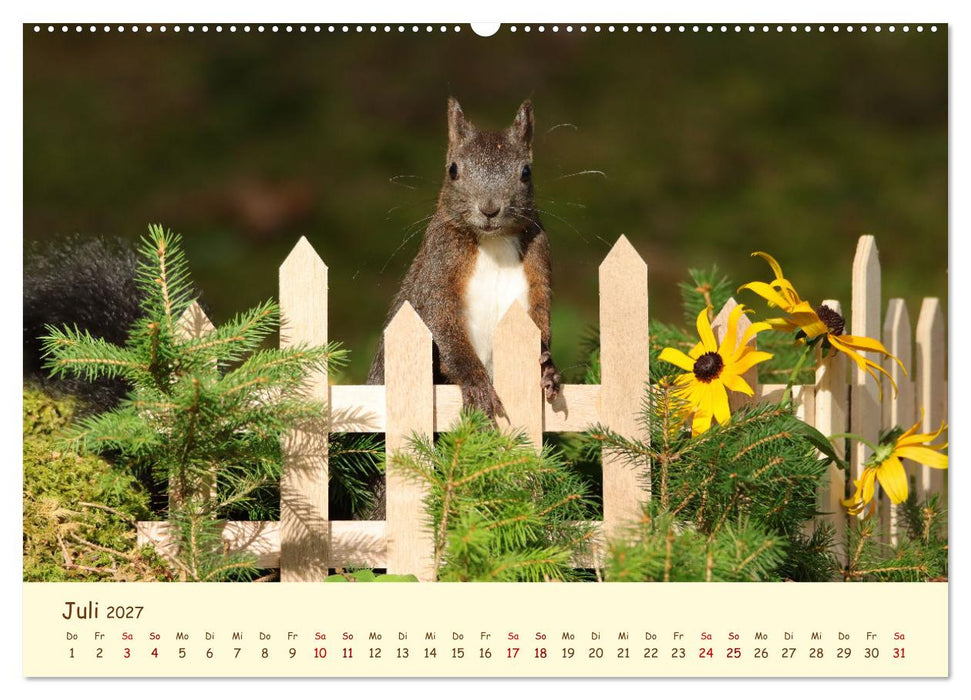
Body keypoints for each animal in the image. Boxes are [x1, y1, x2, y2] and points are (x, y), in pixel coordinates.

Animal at [367, 98, 561, 418]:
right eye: (453, 170)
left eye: (526, 172)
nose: (489, 209)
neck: (494, 242)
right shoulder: (438, 265)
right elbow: (442, 323)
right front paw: (476, 382)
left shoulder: (539, 265)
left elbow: (541, 319)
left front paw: (549, 370)